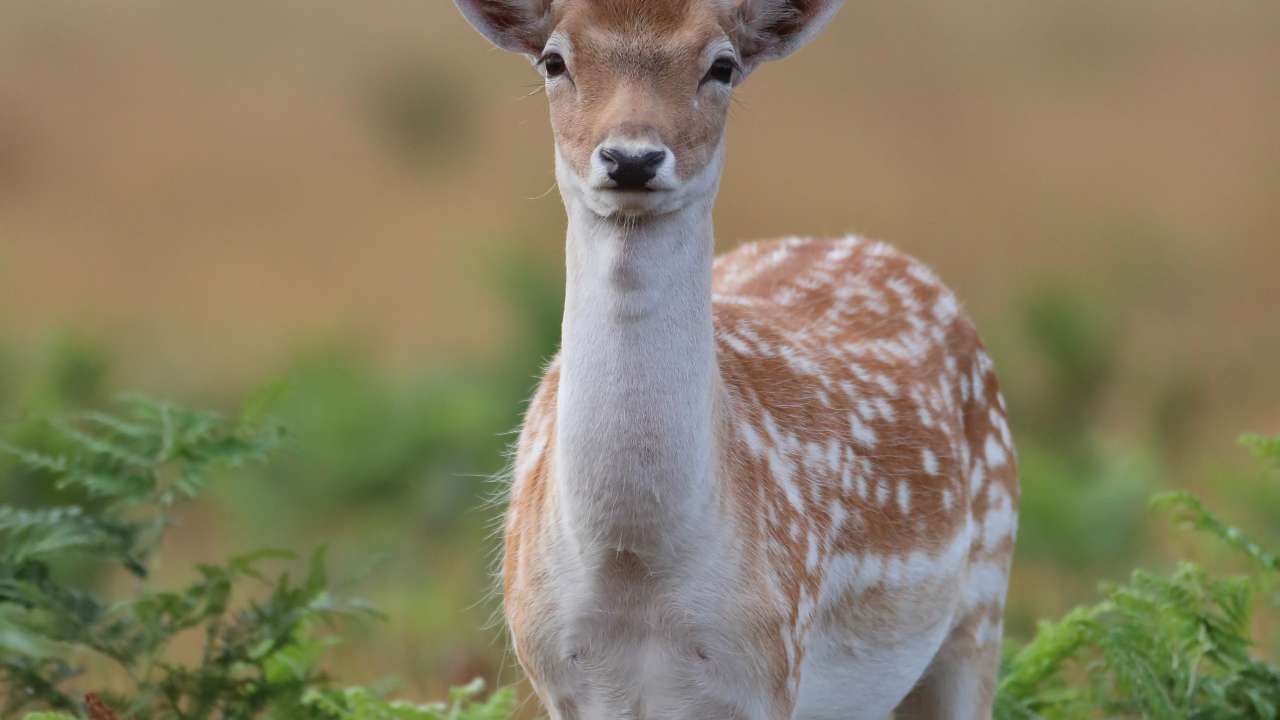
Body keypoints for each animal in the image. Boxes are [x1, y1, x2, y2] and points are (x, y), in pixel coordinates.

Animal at [452, 1, 1019, 718]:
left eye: (721, 65)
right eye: (554, 60)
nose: (632, 157)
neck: (632, 568)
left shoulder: (769, 665)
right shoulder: (552, 669)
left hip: (985, 598)